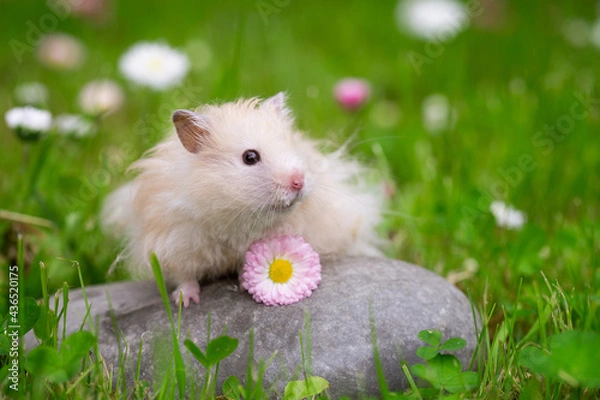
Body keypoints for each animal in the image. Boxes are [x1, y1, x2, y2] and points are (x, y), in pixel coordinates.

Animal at [102, 93, 384, 306]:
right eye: (250, 157)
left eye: (293, 148)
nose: (299, 182)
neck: (233, 215)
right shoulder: (173, 242)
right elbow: (184, 275)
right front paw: (186, 301)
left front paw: (245, 283)